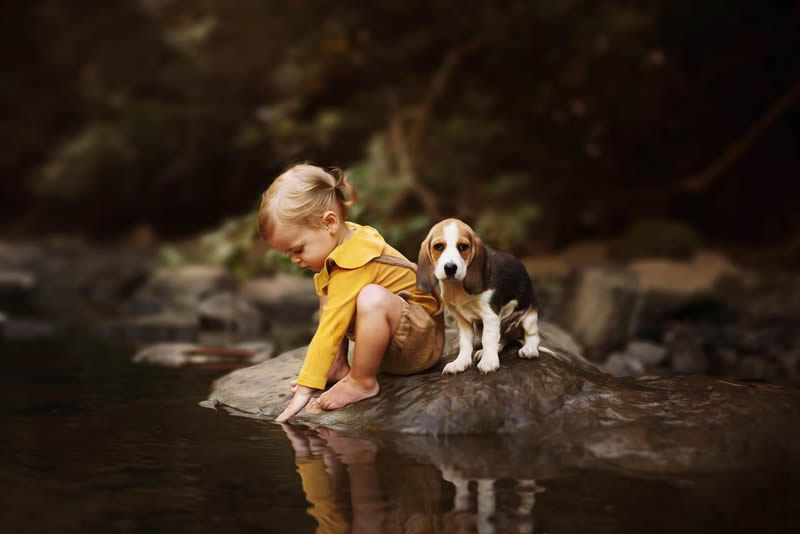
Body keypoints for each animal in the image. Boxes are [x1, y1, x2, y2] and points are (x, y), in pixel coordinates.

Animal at [416, 220, 552, 374]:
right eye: (438, 247)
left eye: (463, 247)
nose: (450, 268)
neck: (457, 286)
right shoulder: (461, 319)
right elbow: (465, 343)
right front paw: (460, 362)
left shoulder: (490, 315)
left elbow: (488, 339)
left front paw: (489, 362)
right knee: (501, 339)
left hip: (529, 317)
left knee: (532, 336)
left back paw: (529, 349)